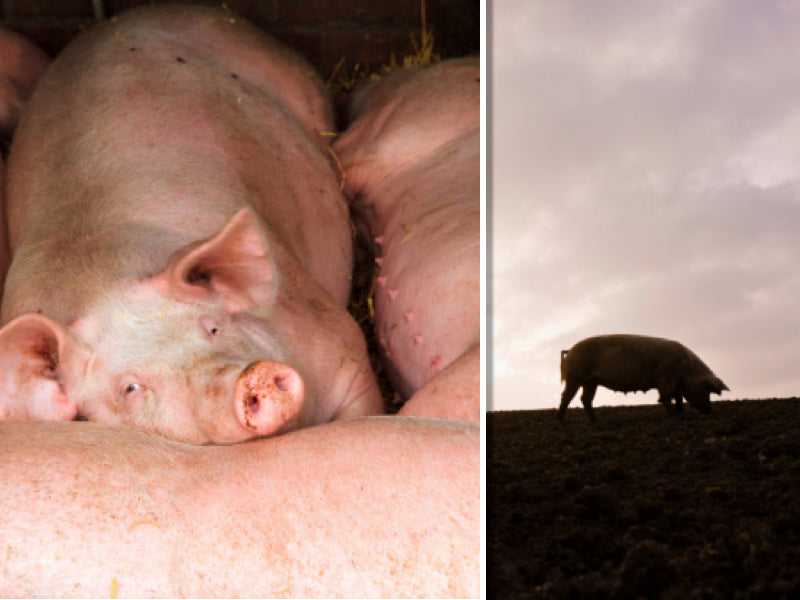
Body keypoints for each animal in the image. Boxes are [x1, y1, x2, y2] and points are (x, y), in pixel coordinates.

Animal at [558, 334, 729, 421]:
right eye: (707, 389)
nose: (710, 411)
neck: (686, 368)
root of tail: (570, 350)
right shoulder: (666, 377)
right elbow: (666, 398)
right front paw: (673, 416)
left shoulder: (674, 383)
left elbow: (679, 399)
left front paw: (679, 413)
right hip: (575, 377)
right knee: (566, 397)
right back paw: (561, 420)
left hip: (591, 381)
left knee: (585, 399)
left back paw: (596, 421)